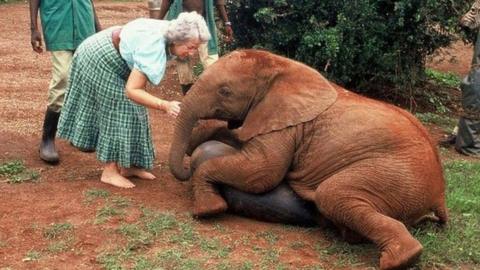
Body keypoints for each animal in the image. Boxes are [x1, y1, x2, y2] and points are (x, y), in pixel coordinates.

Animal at [169, 49, 446, 268]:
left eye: (225, 92)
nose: (183, 170)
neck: (280, 66)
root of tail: (440, 194)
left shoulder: (287, 125)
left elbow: (261, 172)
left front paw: (208, 210)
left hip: (397, 175)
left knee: (331, 194)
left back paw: (400, 259)